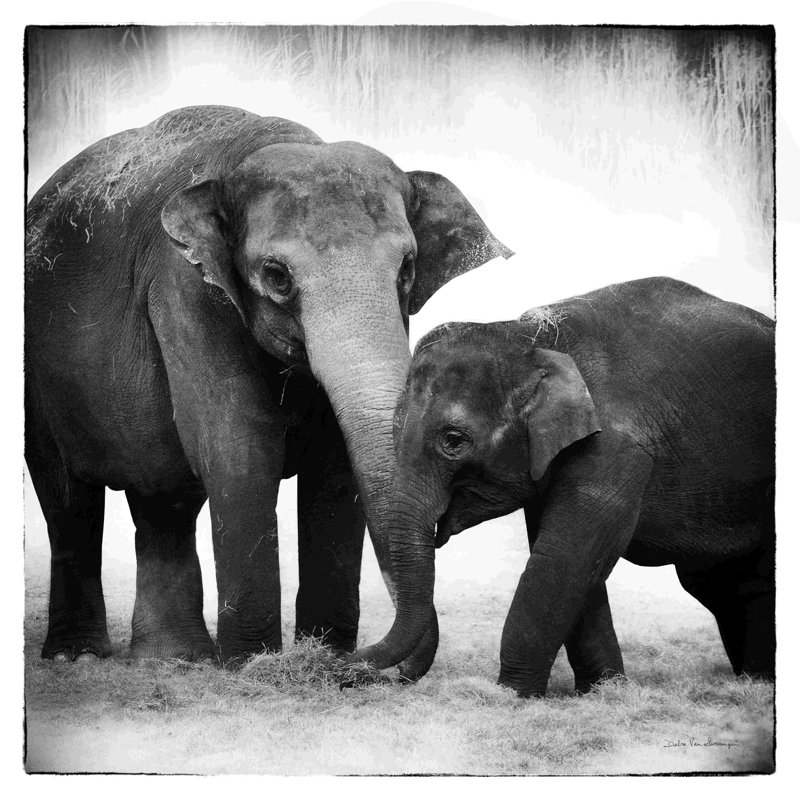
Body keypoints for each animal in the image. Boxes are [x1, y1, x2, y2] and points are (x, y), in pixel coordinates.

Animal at [24, 105, 511, 667]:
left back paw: (174, 659)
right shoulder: (185, 287)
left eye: (406, 270)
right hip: (37, 382)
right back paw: (78, 657)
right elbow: (239, 446)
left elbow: (337, 463)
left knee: (162, 500)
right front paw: (252, 664)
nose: (357, 661)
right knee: (68, 501)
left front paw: (321, 654)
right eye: (276, 275)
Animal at [350, 277, 775, 697]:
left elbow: (563, 556)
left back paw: (758, 683)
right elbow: (571, 562)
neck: (532, 337)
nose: (349, 670)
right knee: (725, 587)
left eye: (453, 440)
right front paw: (602, 692)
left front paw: (512, 695)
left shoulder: (616, 448)